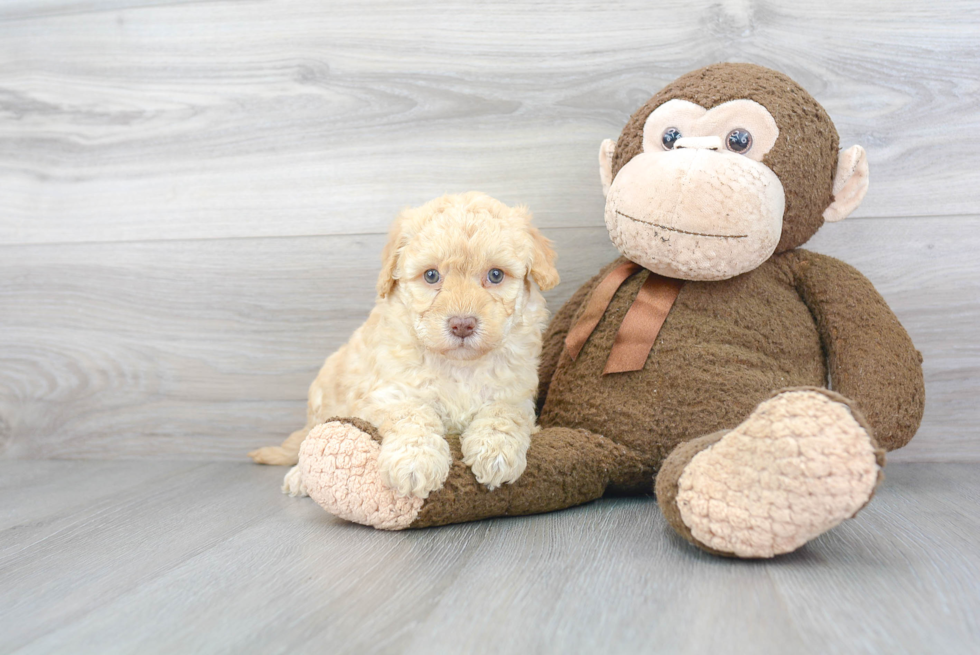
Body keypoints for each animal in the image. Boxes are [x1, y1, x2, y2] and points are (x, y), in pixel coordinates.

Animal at [249, 192, 560, 500]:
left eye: (496, 275)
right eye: (431, 275)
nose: (462, 324)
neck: (460, 366)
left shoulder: (516, 394)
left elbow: (503, 413)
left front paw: (495, 453)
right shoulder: (388, 394)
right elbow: (412, 414)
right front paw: (415, 463)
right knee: (310, 440)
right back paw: (299, 477)